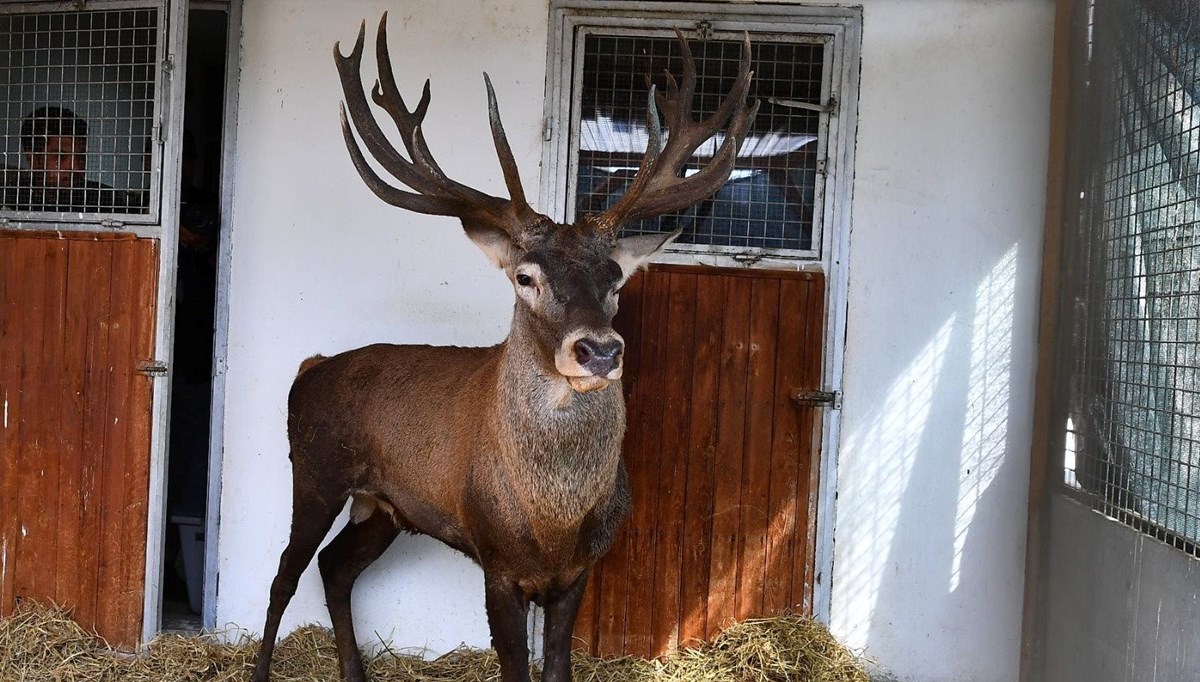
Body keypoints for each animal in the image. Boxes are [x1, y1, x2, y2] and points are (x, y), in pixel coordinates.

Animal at [253, 14, 758, 682]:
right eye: (526, 277)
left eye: (615, 280)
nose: (599, 350)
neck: (552, 521)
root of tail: (307, 368)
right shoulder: (495, 560)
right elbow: (515, 664)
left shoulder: (579, 571)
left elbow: (558, 666)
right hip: (314, 473)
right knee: (285, 574)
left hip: (384, 507)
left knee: (334, 569)